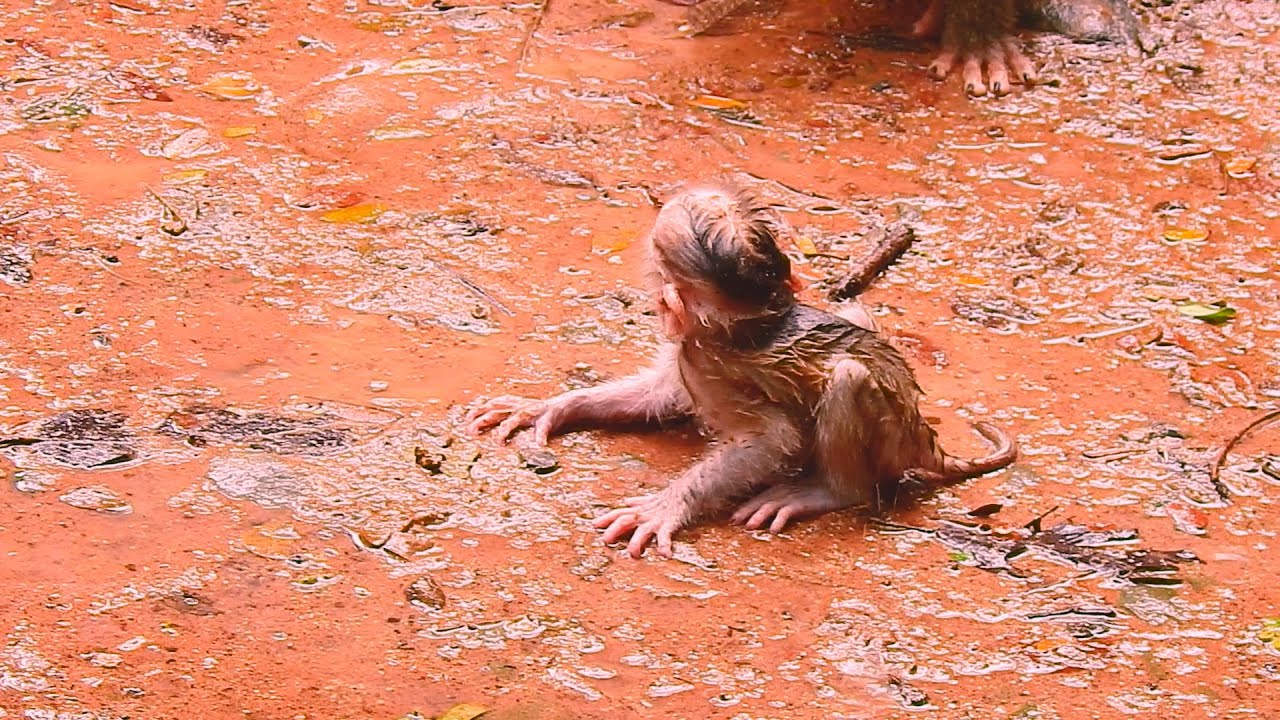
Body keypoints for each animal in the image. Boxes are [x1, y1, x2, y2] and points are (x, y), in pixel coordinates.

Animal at [465, 179, 1016, 558]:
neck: (750, 321)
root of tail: (926, 439)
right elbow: (660, 395)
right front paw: (550, 406)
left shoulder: (702, 359)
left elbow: (772, 439)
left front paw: (667, 506)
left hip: (889, 438)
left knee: (848, 378)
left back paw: (826, 491)